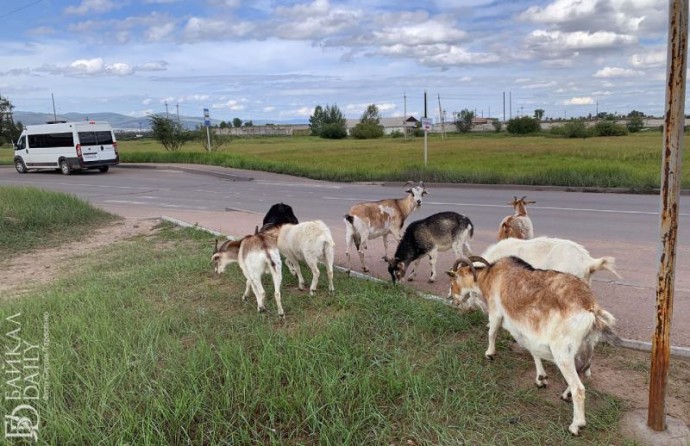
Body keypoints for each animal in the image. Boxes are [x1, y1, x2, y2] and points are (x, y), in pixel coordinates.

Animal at [446, 254, 620, 436]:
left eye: (452, 282)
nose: (451, 299)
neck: (490, 276)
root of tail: (591, 309)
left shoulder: (496, 312)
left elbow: (492, 332)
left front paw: (489, 354)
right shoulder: (530, 332)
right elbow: (534, 351)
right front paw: (541, 378)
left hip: (562, 352)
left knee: (578, 388)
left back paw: (576, 425)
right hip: (585, 347)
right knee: (583, 372)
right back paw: (566, 395)